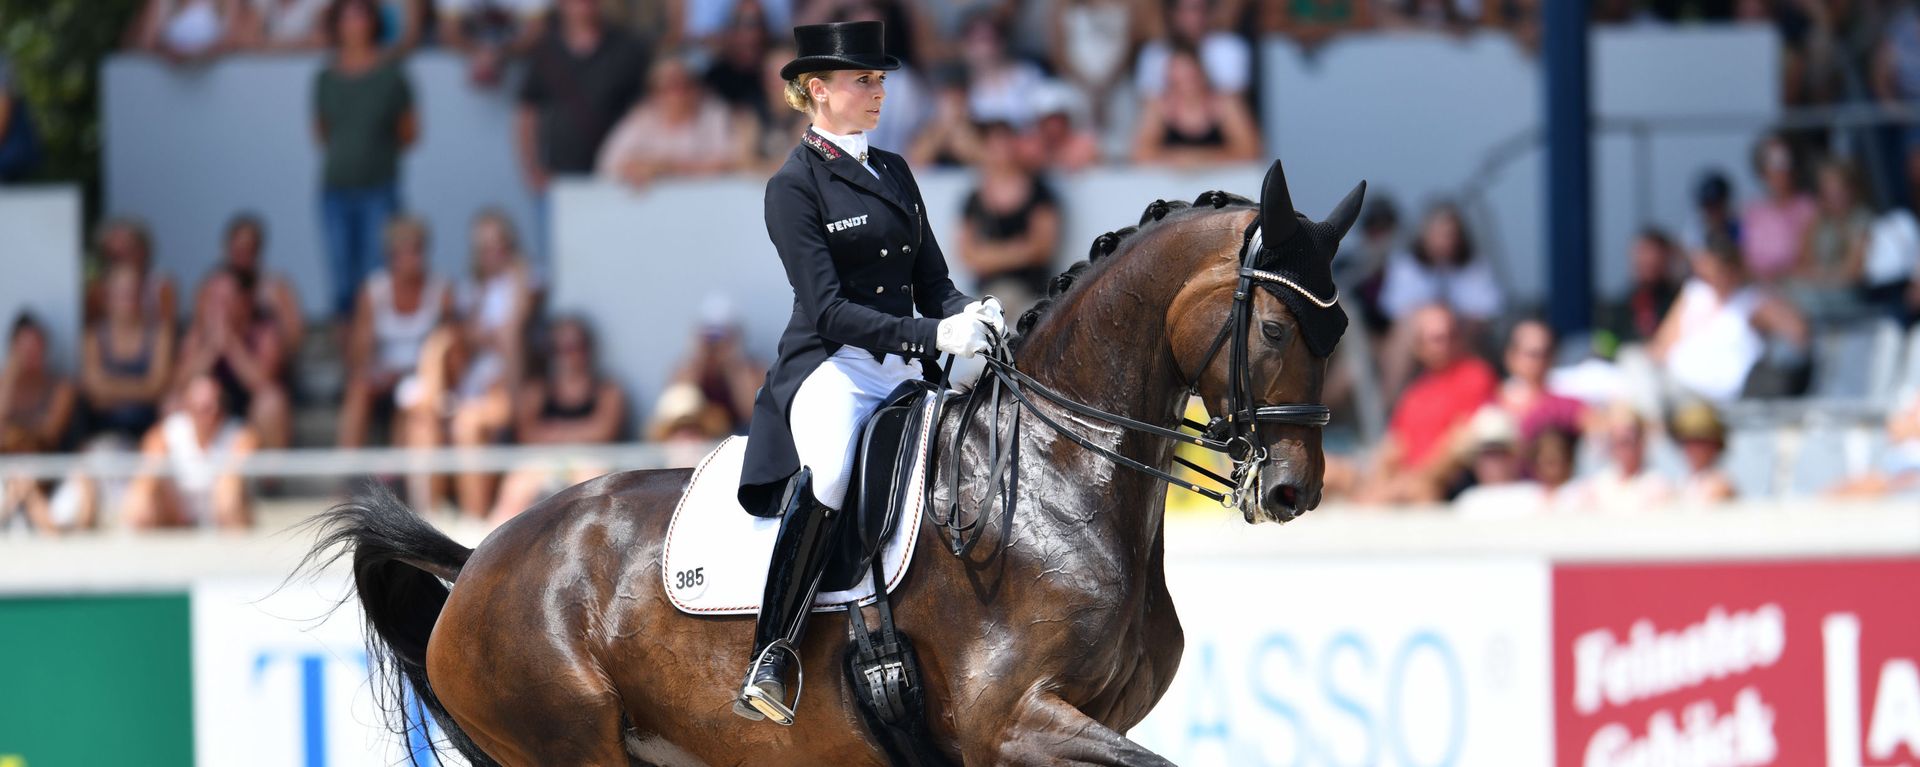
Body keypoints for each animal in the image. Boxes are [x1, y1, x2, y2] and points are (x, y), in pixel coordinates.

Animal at [303, 157, 1364, 765]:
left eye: (1341, 328)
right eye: (1275, 327)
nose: (1292, 489)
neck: (1061, 474)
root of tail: (483, 557)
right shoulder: (1012, 722)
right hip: (565, 745)